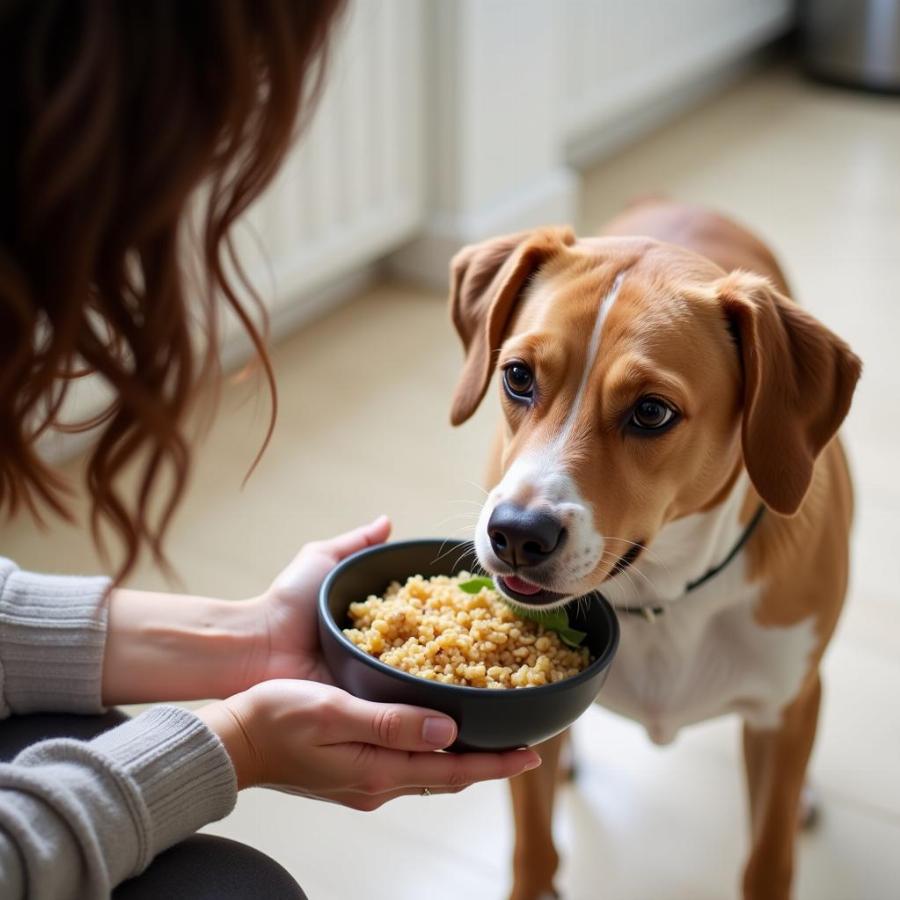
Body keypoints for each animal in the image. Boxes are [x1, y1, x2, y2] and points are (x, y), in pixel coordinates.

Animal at [446, 202, 860, 900]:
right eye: (518, 376)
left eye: (651, 412)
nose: (517, 533)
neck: (665, 595)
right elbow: (534, 851)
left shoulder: (782, 716)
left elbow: (768, 859)